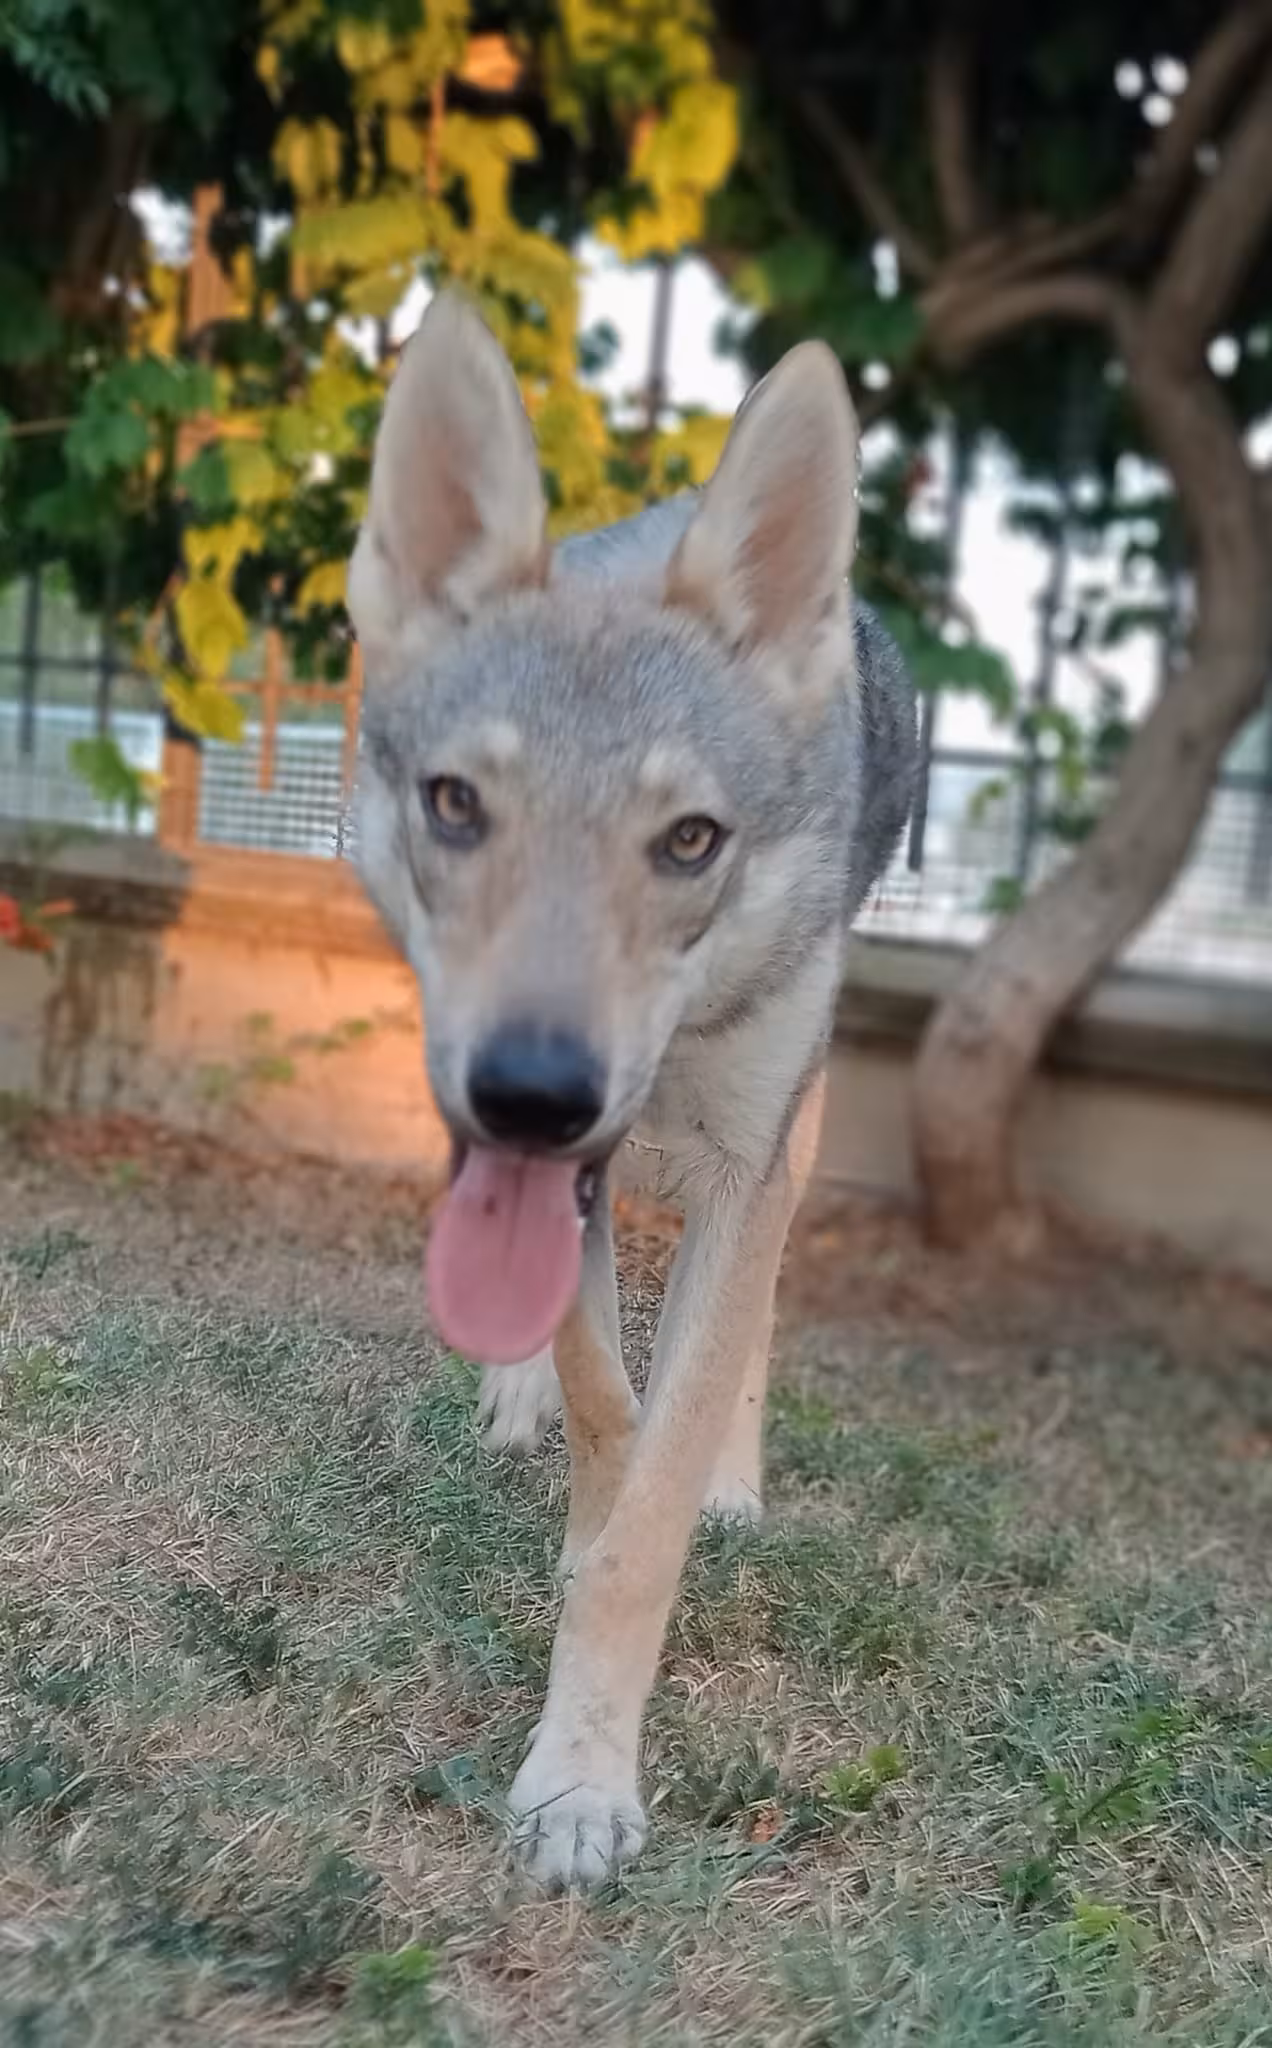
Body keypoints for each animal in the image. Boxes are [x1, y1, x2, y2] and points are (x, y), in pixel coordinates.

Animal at [347, 291, 916, 1889]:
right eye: (456, 804)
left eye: (689, 840)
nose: (534, 1091)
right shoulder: (558, 1175)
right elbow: (606, 1404)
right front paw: (571, 1487)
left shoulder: (743, 1161)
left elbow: (653, 1500)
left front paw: (584, 1779)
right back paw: (512, 1398)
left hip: (798, 1121)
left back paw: (733, 1474)